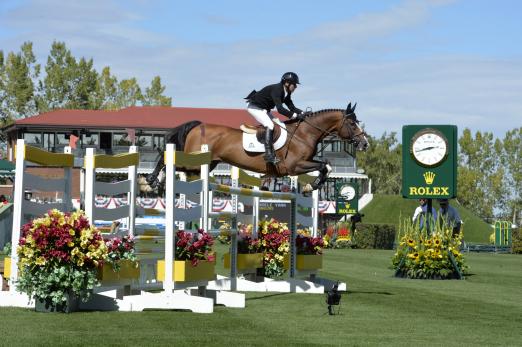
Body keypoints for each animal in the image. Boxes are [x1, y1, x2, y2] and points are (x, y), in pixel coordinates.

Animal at [144, 102, 368, 193]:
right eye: (352, 123)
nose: (365, 143)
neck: (304, 134)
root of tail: (197, 125)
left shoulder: (303, 164)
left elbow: (327, 166)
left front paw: (311, 186)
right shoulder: (294, 166)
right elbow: (324, 166)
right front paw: (311, 186)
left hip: (204, 165)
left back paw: (158, 180)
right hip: (195, 159)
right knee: (169, 159)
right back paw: (152, 179)